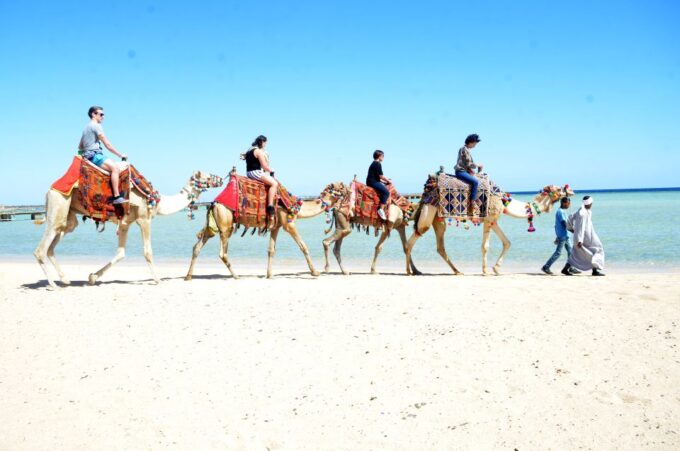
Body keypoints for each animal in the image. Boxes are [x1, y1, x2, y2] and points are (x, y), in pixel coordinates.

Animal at [34, 164, 222, 288]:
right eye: (207, 177)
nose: (220, 178)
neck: (157, 200)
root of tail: (48, 191)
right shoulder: (144, 219)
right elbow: (147, 252)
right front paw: (158, 279)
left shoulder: (125, 223)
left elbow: (120, 254)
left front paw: (93, 277)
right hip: (58, 204)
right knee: (41, 249)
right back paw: (53, 285)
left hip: (68, 217)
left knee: (52, 246)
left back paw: (64, 279)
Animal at [184, 182, 348, 280]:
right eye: (341, 188)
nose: (348, 191)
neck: (296, 206)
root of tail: (213, 204)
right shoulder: (288, 224)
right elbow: (303, 246)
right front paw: (315, 272)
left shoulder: (276, 226)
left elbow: (271, 250)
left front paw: (269, 274)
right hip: (226, 226)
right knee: (222, 253)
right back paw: (236, 276)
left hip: (214, 226)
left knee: (197, 246)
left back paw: (188, 276)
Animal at [405, 180, 573, 276]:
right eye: (559, 189)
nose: (571, 191)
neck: (504, 200)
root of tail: (424, 196)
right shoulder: (489, 218)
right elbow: (485, 246)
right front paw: (485, 271)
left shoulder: (494, 220)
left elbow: (507, 242)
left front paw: (496, 269)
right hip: (428, 214)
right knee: (411, 241)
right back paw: (409, 272)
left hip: (438, 220)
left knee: (439, 246)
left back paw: (457, 271)